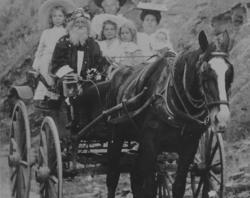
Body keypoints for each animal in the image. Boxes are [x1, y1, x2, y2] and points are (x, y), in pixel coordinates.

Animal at [105, 29, 234, 198]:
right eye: (205, 73)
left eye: (230, 74)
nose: (222, 118)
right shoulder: (150, 145)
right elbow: (149, 187)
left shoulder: (189, 148)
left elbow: (178, 186)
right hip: (116, 136)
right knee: (113, 177)